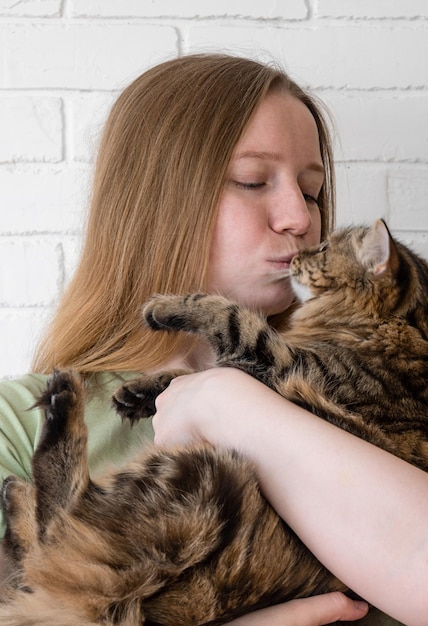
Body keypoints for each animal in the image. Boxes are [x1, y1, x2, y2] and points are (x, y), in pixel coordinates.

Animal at [0, 219, 428, 624]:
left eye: (322, 249)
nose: (295, 255)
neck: (394, 325)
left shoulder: (282, 361)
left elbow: (226, 314)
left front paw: (161, 308)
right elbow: (185, 374)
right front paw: (137, 394)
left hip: (203, 477)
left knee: (57, 522)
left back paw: (58, 405)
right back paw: (18, 487)